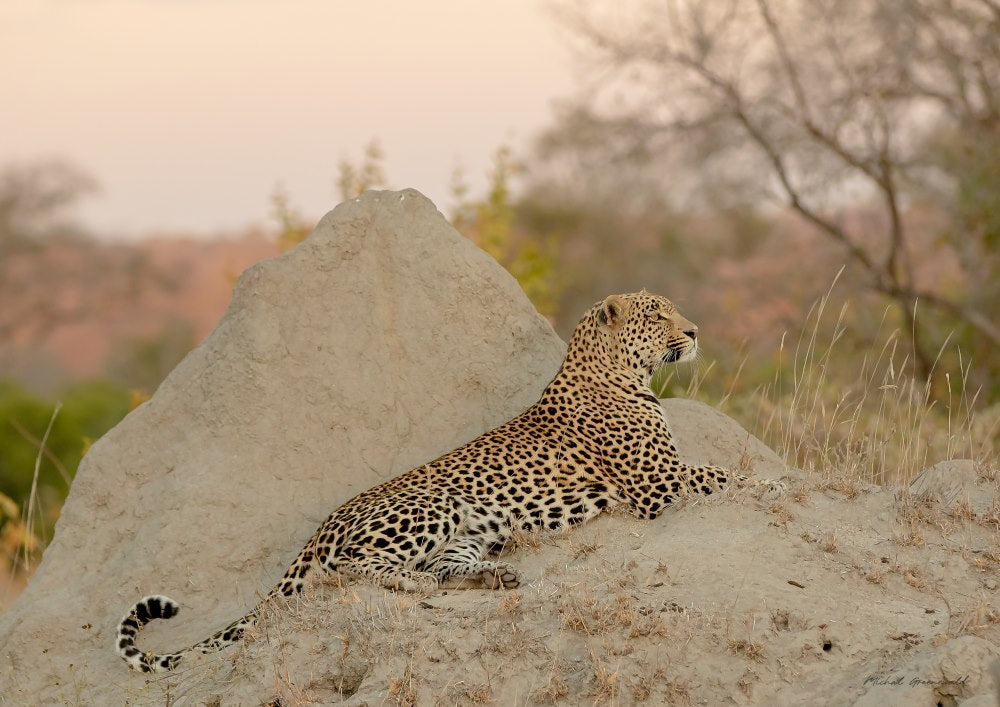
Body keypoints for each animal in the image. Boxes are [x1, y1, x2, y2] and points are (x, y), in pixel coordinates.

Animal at [116, 291, 777, 672]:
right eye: (658, 314)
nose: (695, 332)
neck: (620, 371)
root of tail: (323, 524)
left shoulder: (664, 477)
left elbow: (724, 470)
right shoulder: (658, 484)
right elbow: (726, 473)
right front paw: (774, 485)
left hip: (474, 528)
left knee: (441, 568)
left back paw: (493, 576)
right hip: (433, 503)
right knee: (358, 567)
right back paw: (414, 583)